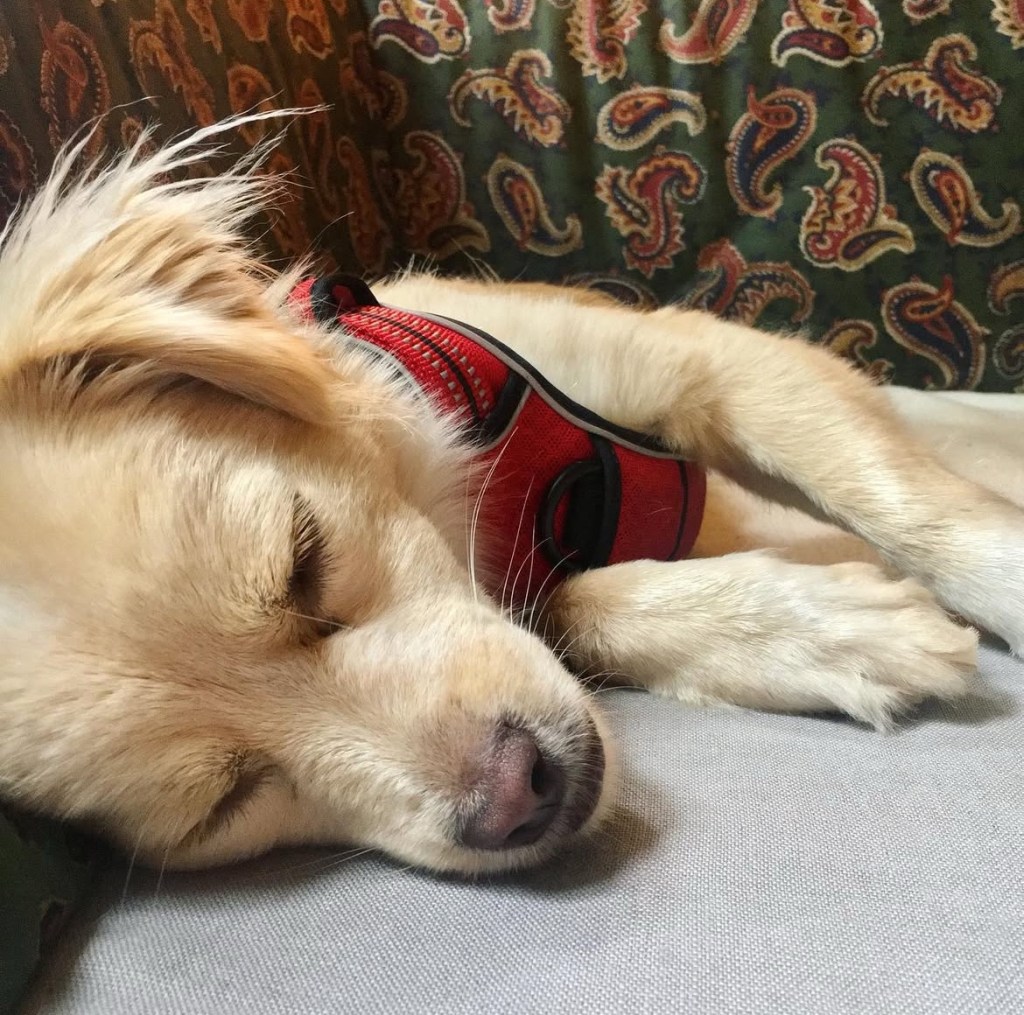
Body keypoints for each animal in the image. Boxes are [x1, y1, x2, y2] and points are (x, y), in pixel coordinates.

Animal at [1, 113, 1018, 876]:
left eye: (304, 561)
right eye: (222, 803)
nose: (515, 795)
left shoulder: (707, 362)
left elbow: (904, 502)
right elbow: (572, 599)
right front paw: (821, 633)